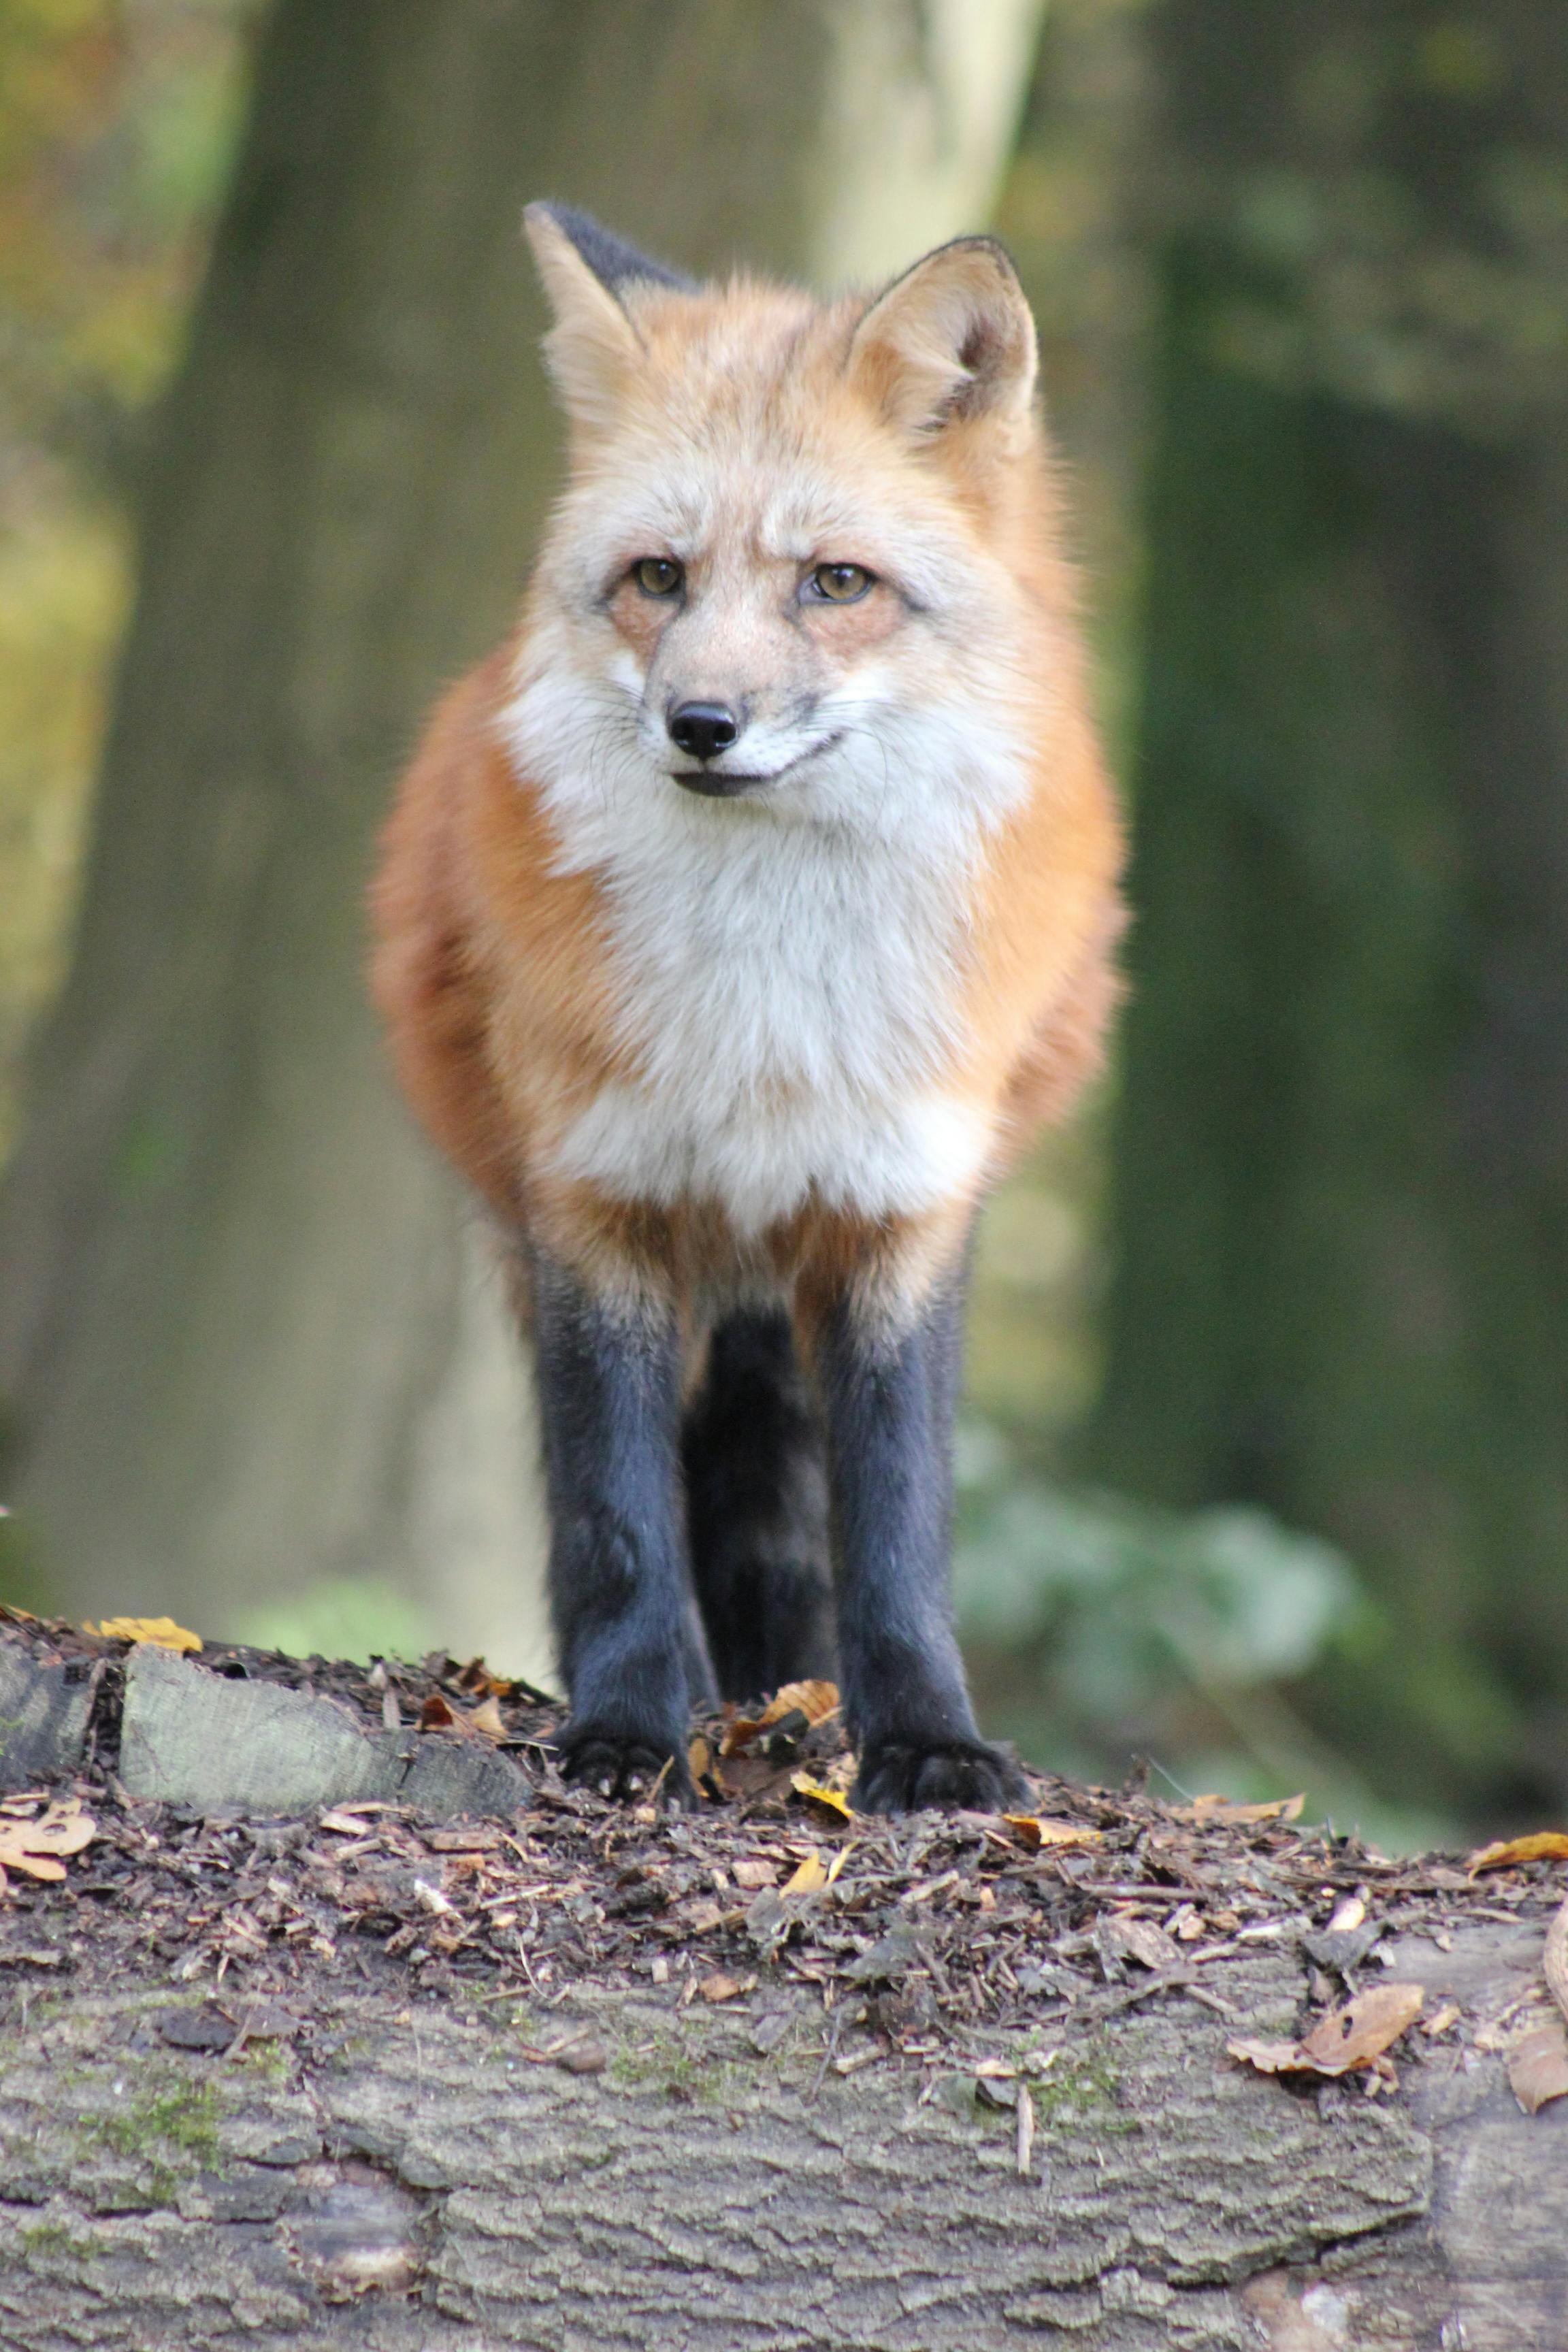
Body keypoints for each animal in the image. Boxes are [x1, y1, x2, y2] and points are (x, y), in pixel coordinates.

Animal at [372, 203, 1124, 1814]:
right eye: (657, 577)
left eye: (834, 583)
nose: (700, 725)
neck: (763, 1016)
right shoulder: (592, 1202)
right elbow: (617, 1519)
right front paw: (627, 1728)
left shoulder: (904, 1209)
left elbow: (895, 1527)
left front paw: (923, 1739)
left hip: (782, 1294)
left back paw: (789, 1696)